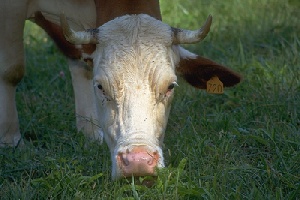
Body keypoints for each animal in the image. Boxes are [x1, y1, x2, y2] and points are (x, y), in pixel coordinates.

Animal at [0, 0, 240, 178]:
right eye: (101, 87)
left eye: (170, 86)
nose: (137, 162)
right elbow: (11, 70)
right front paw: (11, 141)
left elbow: (79, 62)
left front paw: (89, 133)